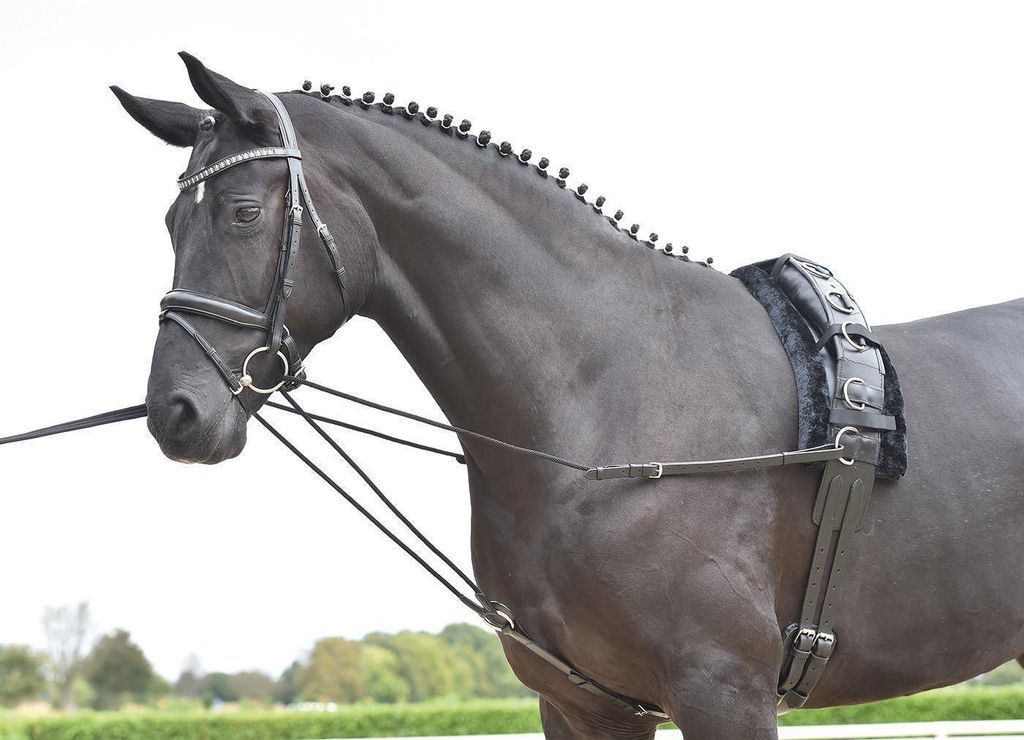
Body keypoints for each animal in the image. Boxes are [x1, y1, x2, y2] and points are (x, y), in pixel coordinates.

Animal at [111, 53, 1024, 738]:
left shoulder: (724, 690)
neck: (604, 416)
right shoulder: (586, 705)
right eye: (170, 222)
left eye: (240, 212)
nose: (175, 413)